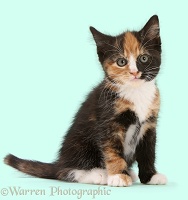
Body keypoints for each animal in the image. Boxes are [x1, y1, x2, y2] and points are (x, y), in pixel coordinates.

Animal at [4, 15, 167, 186]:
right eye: (121, 62)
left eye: (144, 58)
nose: (134, 73)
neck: (136, 92)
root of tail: (60, 162)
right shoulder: (109, 122)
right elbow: (112, 151)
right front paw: (117, 176)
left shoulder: (149, 125)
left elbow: (148, 152)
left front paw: (150, 176)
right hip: (80, 144)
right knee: (66, 172)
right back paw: (98, 174)